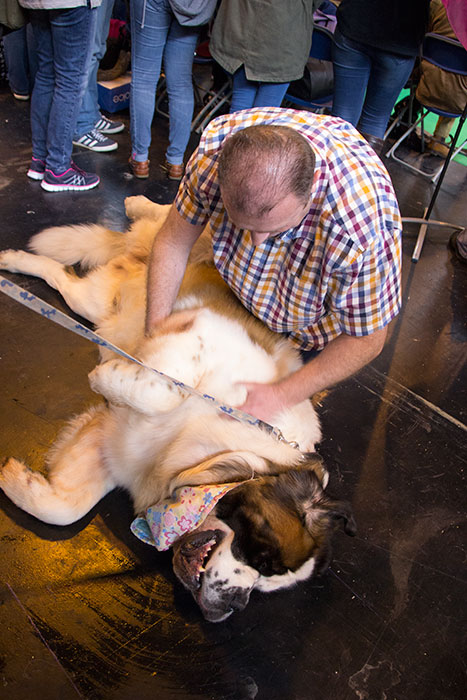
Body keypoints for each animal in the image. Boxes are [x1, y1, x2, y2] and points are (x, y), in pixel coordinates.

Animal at [0, 197, 354, 624]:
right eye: (260, 557)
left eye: (263, 586)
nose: (237, 603)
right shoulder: (202, 331)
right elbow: (166, 390)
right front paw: (106, 376)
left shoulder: (111, 443)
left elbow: (64, 509)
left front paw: (18, 481)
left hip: (95, 303)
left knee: (63, 278)